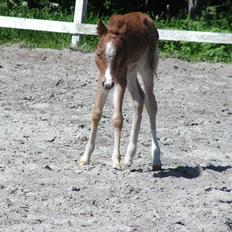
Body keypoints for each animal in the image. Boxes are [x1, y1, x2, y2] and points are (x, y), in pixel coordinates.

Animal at [80, 11, 161, 170]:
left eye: (119, 56)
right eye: (98, 54)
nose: (109, 84)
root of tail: (147, 18)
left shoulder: (120, 79)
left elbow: (117, 119)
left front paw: (116, 160)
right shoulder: (102, 78)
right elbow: (96, 113)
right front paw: (85, 157)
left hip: (145, 68)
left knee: (151, 103)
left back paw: (156, 158)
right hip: (131, 72)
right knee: (138, 101)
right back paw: (129, 157)